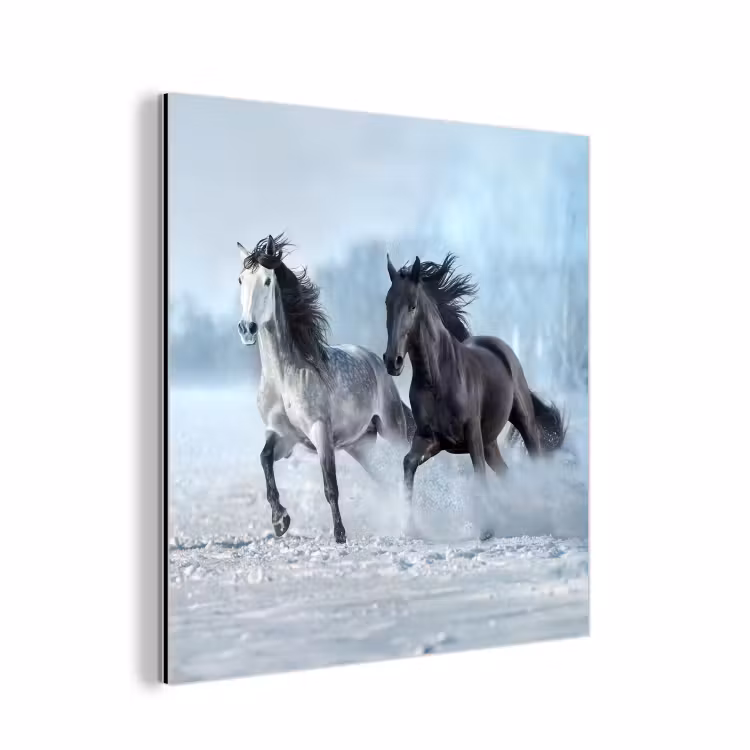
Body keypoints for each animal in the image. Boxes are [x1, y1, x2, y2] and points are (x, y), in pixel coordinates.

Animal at [237, 233, 415, 544]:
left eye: (267, 281)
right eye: (240, 280)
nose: (247, 328)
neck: (285, 377)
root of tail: (376, 360)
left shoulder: (320, 432)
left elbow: (330, 485)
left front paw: (340, 535)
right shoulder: (282, 435)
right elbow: (265, 460)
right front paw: (280, 520)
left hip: (392, 429)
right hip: (360, 446)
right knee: (385, 477)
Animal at [383, 253, 566, 538]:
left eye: (412, 306)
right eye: (387, 304)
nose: (393, 361)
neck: (437, 379)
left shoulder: (471, 434)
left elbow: (478, 473)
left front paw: (487, 529)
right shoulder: (431, 438)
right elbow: (408, 463)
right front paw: (410, 527)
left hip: (521, 420)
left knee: (534, 456)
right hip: (490, 442)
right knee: (506, 473)